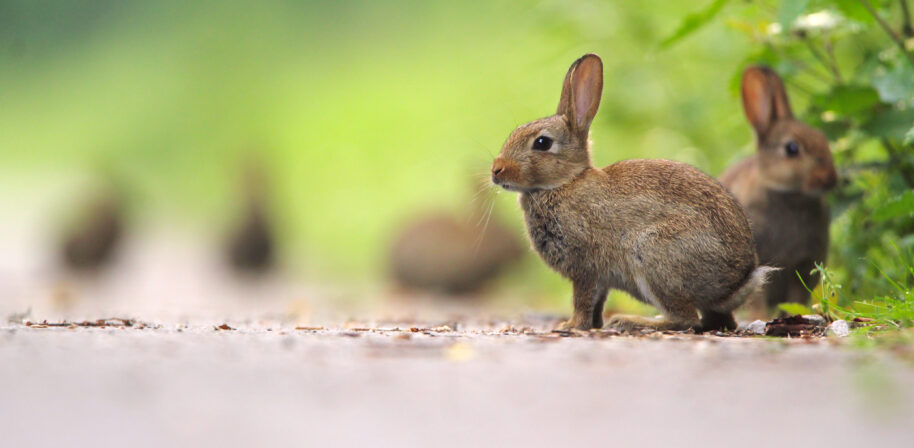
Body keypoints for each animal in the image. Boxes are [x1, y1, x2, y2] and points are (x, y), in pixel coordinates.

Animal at [488, 53, 772, 332]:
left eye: (542, 143)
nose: (496, 170)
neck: (565, 182)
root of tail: (738, 281)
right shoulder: (599, 278)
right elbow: (597, 302)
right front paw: (593, 325)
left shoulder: (585, 266)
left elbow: (583, 299)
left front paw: (571, 325)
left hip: (654, 255)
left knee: (686, 319)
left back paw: (632, 321)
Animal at [720, 65, 832, 312]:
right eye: (791, 148)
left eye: (823, 138)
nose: (829, 178)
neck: (788, 195)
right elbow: (756, 297)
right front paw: (760, 317)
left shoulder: (803, 264)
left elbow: (796, 297)